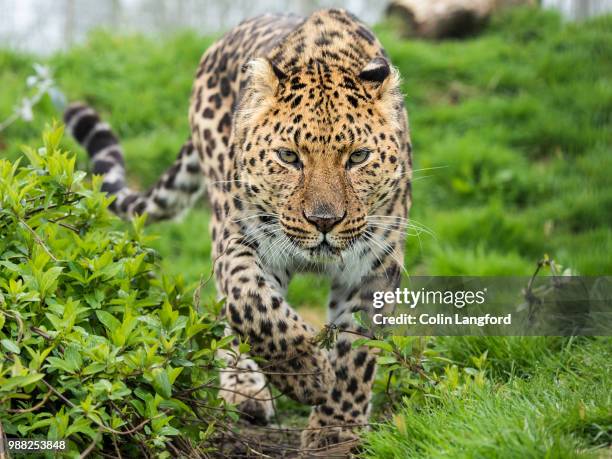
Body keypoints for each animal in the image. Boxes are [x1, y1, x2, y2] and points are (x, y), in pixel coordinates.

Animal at [64, 8, 414, 452]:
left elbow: (356, 349)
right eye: (288, 157)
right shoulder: (243, 239)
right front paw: (305, 372)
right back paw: (245, 389)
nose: (324, 221)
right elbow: (251, 304)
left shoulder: (374, 262)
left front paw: (336, 430)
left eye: (358, 157)